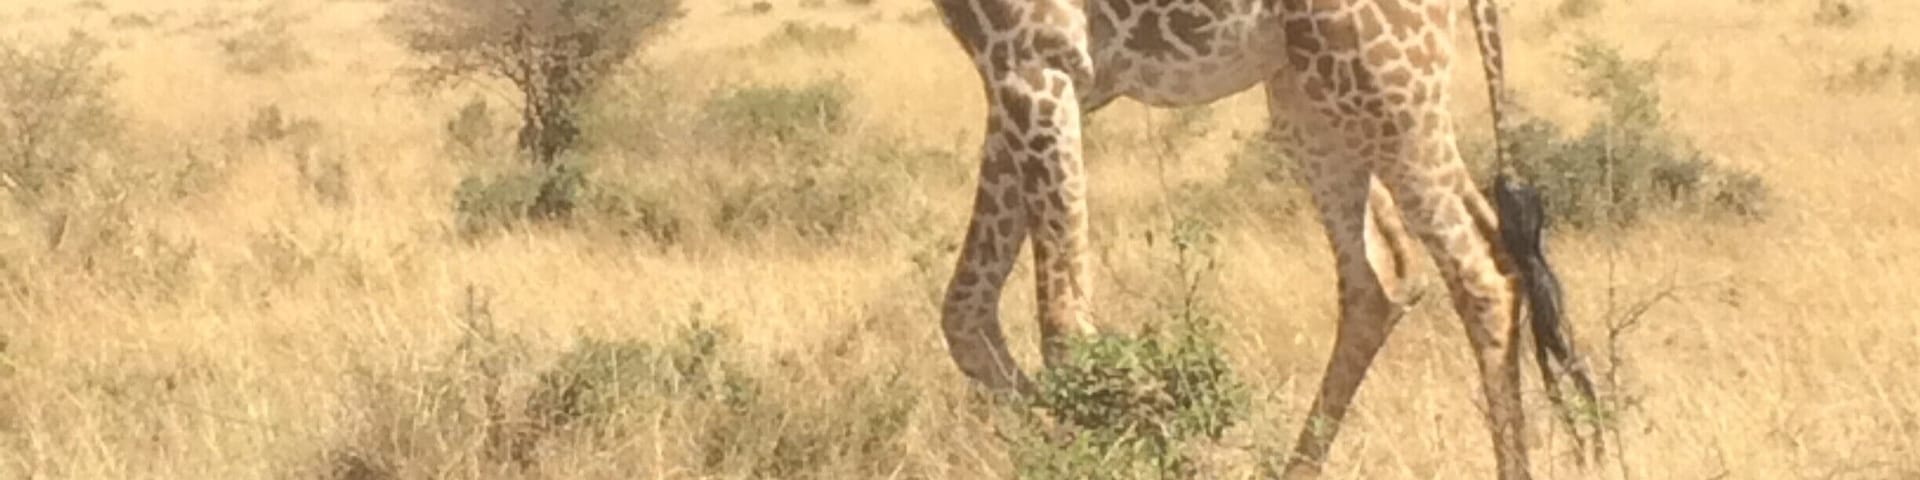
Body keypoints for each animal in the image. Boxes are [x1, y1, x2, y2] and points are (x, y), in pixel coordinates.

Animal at [928, 0, 1599, 477]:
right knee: (1387, 277)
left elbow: (1062, 328)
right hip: (1311, 92)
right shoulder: (1018, 74)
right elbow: (965, 314)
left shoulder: (1037, 59)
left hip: (1382, 79)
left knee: (1479, 271)